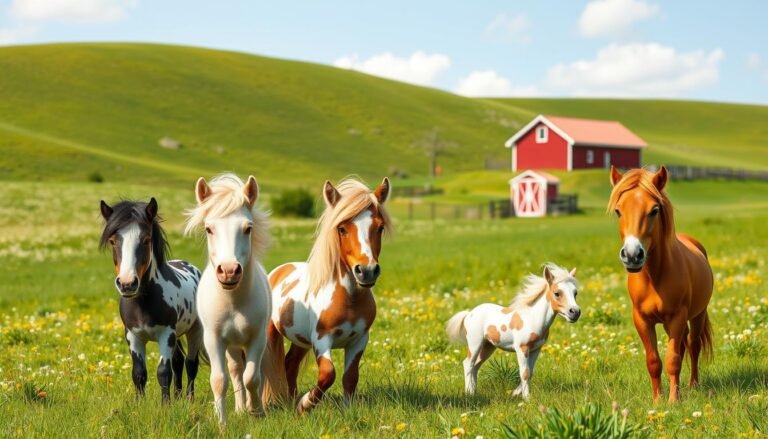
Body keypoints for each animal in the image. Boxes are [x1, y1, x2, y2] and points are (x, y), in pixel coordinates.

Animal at [99, 198, 204, 403]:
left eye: (146, 240)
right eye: (113, 241)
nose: (127, 283)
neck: (143, 304)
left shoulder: (166, 335)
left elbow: (163, 372)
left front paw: (166, 405)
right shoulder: (133, 337)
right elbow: (139, 373)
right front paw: (140, 404)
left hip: (194, 331)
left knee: (190, 364)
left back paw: (189, 399)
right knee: (178, 361)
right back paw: (178, 397)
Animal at [184, 173, 271, 425]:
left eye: (248, 228)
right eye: (209, 228)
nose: (229, 271)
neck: (234, 302)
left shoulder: (257, 338)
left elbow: (252, 377)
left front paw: (257, 412)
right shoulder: (213, 340)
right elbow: (219, 380)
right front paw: (221, 421)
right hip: (231, 345)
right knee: (234, 370)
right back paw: (240, 408)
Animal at [261, 177, 391, 414]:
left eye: (380, 227)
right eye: (342, 228)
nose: (367, 271)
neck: (348, 301)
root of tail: (278, 271)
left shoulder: (359, 340)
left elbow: (350, 377)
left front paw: (347, 410)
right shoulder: (321, 340)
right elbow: (328, 373)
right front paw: (306, 403)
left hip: (300, 340)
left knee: (290, 364)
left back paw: (291, 402)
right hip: (272, 334)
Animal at [446, 263, 580, 400]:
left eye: (575, 293)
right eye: (557, 293)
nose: (575, 312)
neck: (532, 318)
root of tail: (469, 314)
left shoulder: (536, 349)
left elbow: (531, 372)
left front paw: (514, 393)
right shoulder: (522, 348)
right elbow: (525, 373)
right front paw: (526, 398)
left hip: (488, 346)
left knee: (476, 365)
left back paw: (474, 392)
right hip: (475, 343)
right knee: (468, 363)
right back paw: (469, 393)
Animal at [608, 165, 714, 402]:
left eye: (654, 210)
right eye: (618, 211)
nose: (632, 255)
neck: (654, 277)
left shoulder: (677, 317)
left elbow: (673, 359)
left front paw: (673, 400)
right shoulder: (642, 320)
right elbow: (654, 361)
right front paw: (658, 400)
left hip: (697, 315)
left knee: (692, 346)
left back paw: (693, 385)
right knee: (683, 346)